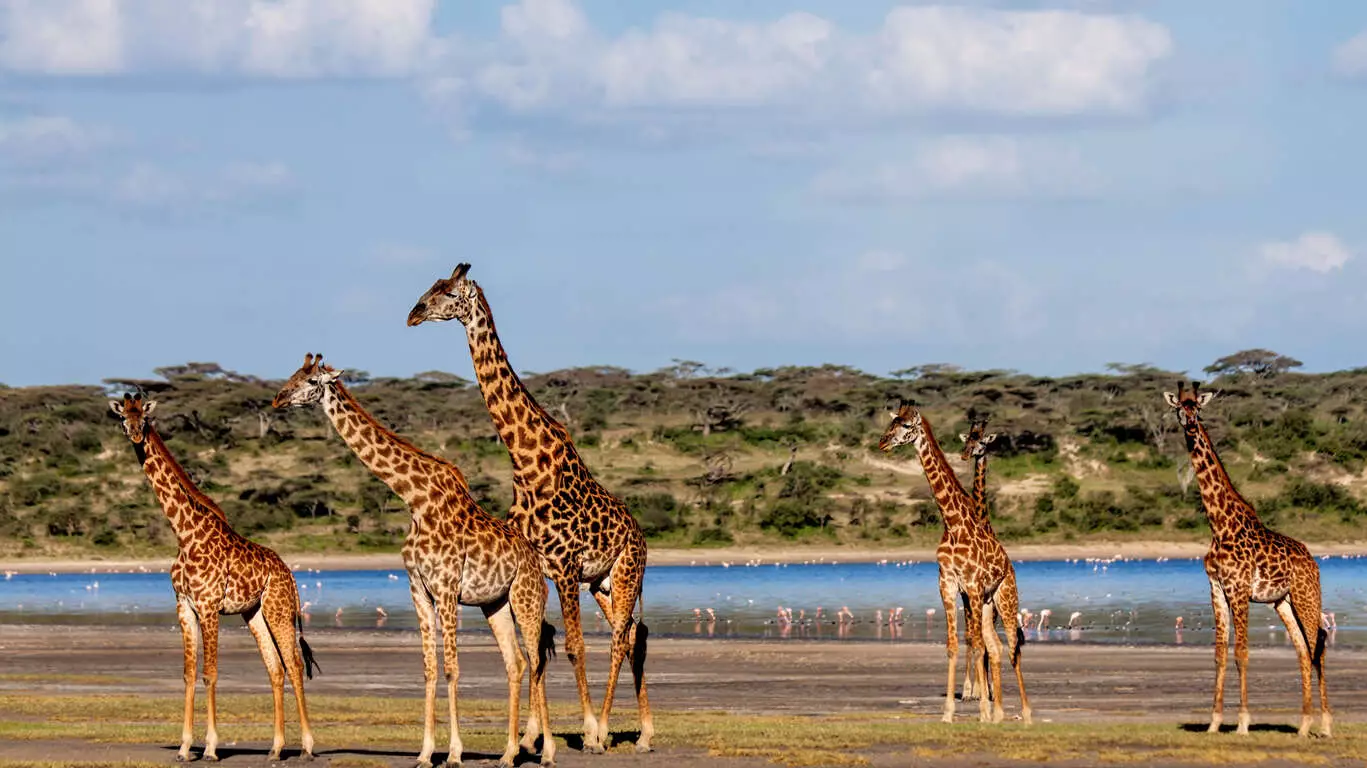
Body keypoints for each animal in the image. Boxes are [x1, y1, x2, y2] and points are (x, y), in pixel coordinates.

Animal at [107, 390, 317, 759]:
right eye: (122, 417)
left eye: (143, 417)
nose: (133, 434)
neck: (184, 534)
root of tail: (290, 575)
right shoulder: (184, 606)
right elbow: (189, 674)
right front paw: (184, 747)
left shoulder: (208, 606)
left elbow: (210, 674)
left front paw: (209, 747)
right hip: (255, 613)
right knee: (275, 669)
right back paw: (275, 748)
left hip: (278, 610)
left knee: (293, 664)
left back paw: (306, 746)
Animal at [272, 352, 555, 765]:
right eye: (292, 374)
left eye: (310, 381)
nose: (277, 399)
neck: (415, 499)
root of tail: (537, 562)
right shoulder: (419, 590)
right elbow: (429, 670)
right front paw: (425, 752)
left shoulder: (448, 588)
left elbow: (452, 668)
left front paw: (454, 753)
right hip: (495, 603)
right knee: (516, 663)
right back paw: (508, 753)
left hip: (526, 598)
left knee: (536, 661)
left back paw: (546, 751)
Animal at [401, 265, 653, 754]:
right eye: (430, 288)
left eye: (448, 293)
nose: (413, 314)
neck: (525, 463)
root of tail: (641, 534)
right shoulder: (537, 567)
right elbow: (537, 644)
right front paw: (533, 734)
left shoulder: (567, 566)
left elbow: (572, 645)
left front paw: (588, 730)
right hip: (603, 582)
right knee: (633, 633)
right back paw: (647, 733)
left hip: (626, 571)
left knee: (618, 638)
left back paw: (607, 728)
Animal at [880, 401, 1027, 721]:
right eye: (891, 423)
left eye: (906, 426)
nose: (882, 442)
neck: (953, 522)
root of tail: (1010, 566)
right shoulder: (948, 585)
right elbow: (953, 645)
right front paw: (949, 712)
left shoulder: (971, 585)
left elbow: (977, 645)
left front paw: (981, 709)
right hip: (986, 604)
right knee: (996, 647)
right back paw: (999, 712)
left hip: (1005, 599)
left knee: (1013, 648)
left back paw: (1025, 713)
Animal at [1159, 379, 1328, 732]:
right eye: (1179, 408)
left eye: (1198, 407)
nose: (1190, 424)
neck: (1219, 524)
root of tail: (1313, 561)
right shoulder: (1217, 589)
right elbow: (1220, 654)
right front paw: (1213, 723)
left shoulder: (1239, 590)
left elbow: (1242, 653)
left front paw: (1243, 723)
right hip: (1284, 602)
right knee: (1303, 651)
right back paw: (1304, 726)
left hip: (1306, 596)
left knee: (1318, 645)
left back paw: (1327, 726)